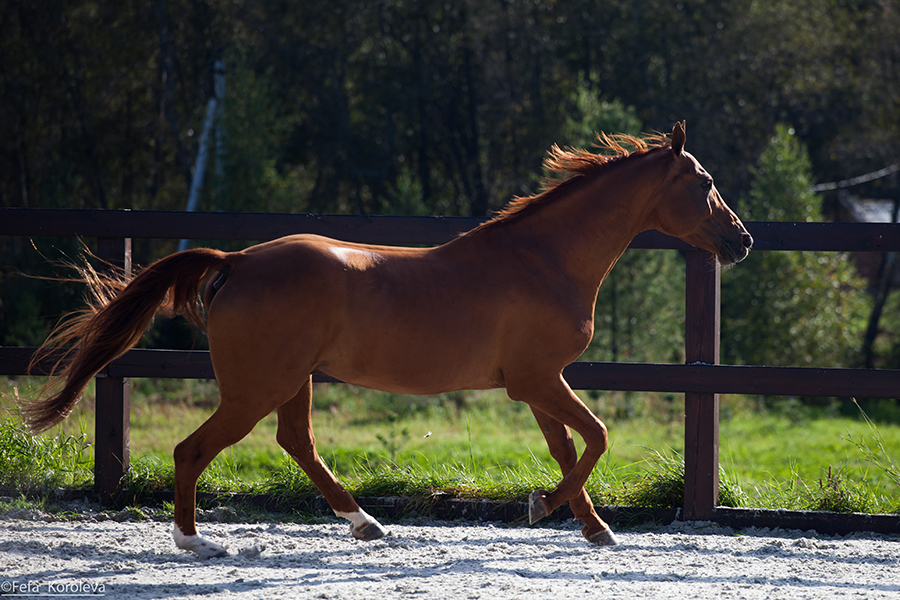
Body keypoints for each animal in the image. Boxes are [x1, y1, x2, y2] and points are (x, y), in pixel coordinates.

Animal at [24, 123, 748, 556]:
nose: (741, 241)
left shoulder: (537, 384)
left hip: (291, 381)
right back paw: (196, 542)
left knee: (297, 443)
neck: (544, 259)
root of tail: (237, 261)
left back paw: (367, 523)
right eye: (706, 183)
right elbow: (595, 437)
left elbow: (570, 446)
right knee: (192, 449)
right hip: (255, 387)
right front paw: (545, 506)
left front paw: (591, 527)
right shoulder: (537, 379)